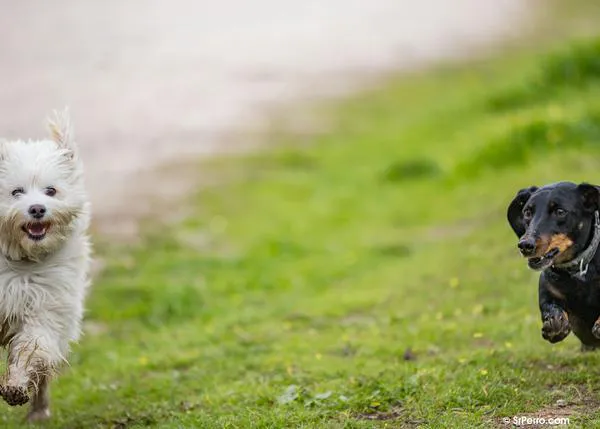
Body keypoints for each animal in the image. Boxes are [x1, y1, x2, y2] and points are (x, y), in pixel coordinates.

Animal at [0, 110, 91, 422]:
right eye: (16, 192)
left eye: (51, 191)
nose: (37, 208)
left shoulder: (45, 309)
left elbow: (32, 346)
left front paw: (15, 385)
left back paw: (38, 412)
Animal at [508, 181, 600, 348]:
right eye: (527, 212)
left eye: (560, 211)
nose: (525, 245)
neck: (579, 270)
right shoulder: (548, 293)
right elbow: (551, 307)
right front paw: (555, 325)